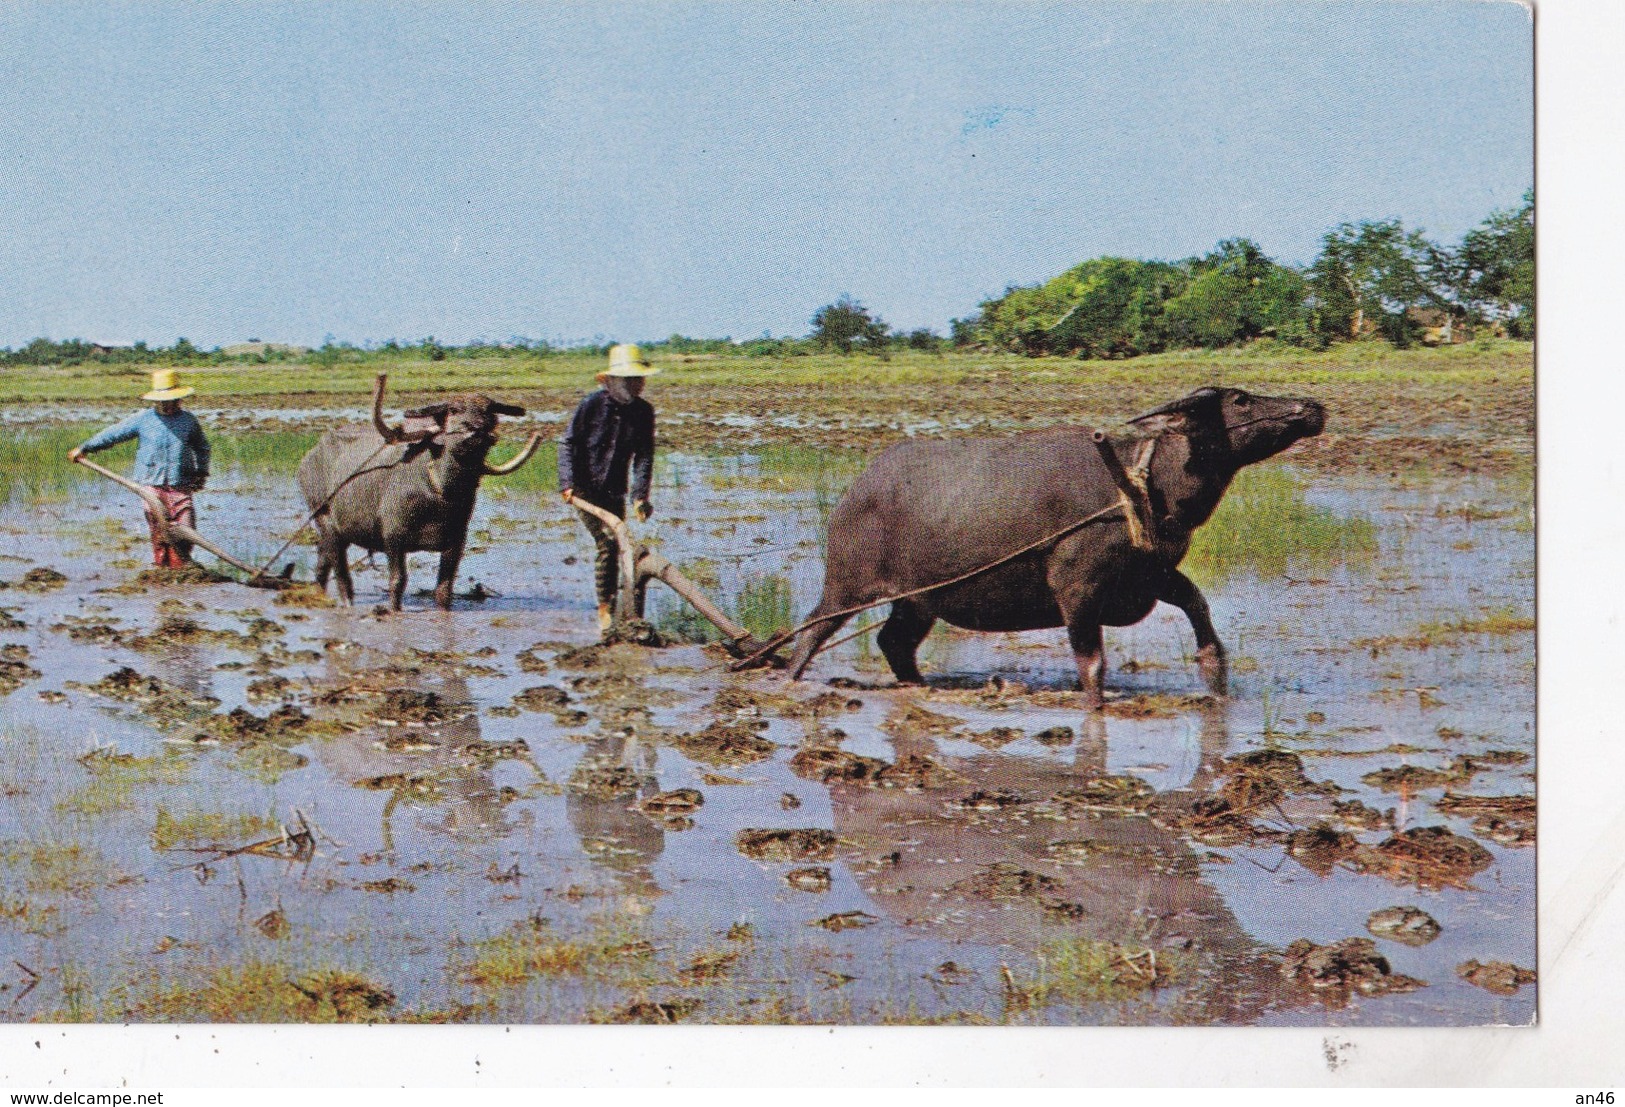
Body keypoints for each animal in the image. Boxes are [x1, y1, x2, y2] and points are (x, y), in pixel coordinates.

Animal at [295, 386, 542, 614]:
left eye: (489, 412)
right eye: (454, 410)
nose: (476, 432)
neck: (439, 491)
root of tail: (309, 457)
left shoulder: (456, 542)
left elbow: (444, 589)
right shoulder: (393, 539)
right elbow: (397, 583)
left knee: (322, 562)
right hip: (324, 518)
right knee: (341, 574)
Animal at [780, 383, 1326, 702]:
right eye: (1241, 400)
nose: (1312, 407)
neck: (1140, 485)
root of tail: (855, 491)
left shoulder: (1152, 574)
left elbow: (1198, 606)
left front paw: (1213, 669)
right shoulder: (1076, 589)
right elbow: (1092, 665)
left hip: (918, 600)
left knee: (894, 641)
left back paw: (918, 686)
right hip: (847, 586)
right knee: (810, 632)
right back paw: (788, 679)